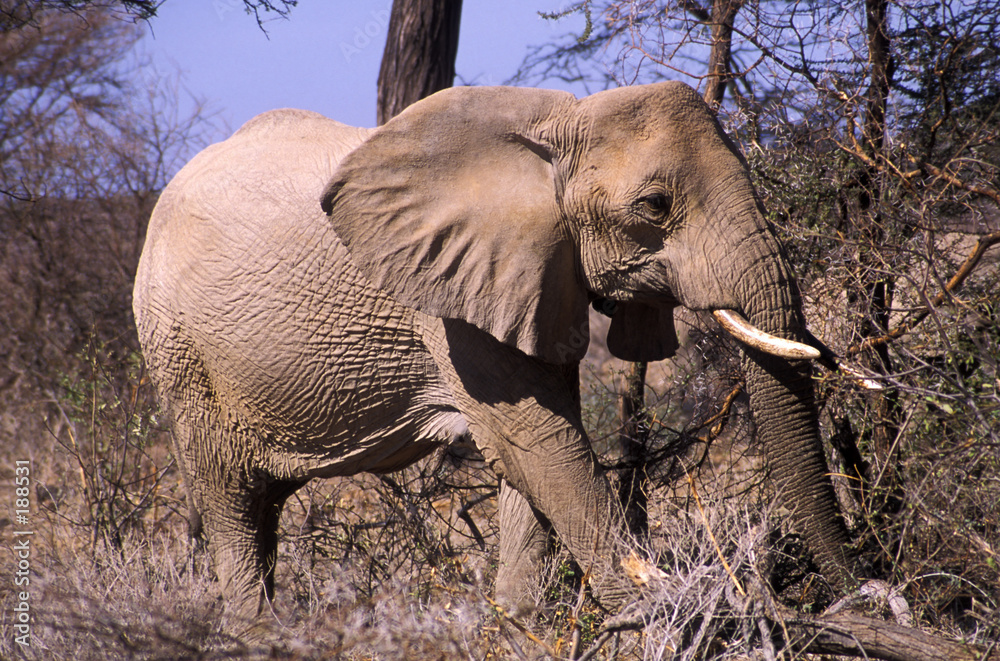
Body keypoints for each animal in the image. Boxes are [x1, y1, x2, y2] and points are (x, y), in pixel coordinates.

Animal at [132, 81, 860, 628]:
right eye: (654, 205)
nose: (858, 591)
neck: (556, 127)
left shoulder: (536, 276)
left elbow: (529, 456)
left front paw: (517, 624)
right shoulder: (447, 302)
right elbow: (540, 442)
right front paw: (665, 616)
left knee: (265, 508)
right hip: (179, 354)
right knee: (229, 499)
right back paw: (255, 630)